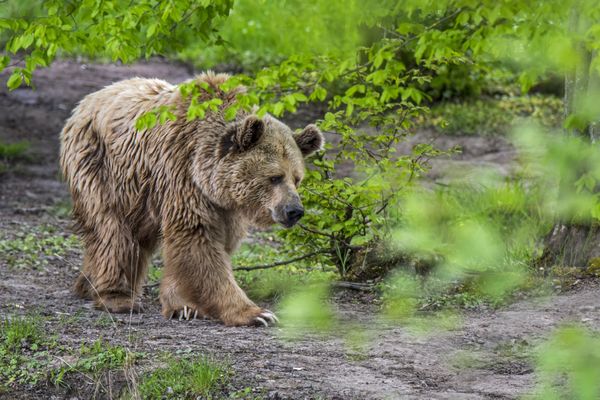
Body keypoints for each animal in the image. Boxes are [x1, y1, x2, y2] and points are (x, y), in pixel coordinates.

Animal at [60, 72, 324, 324]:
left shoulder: (224, 207)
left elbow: (211, 246)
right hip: (101, 168)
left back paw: (86, 284)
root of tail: (87, 101)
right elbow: (198, 241)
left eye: (297, 178)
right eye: (274, 177)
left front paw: (182, 306)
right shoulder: (183, 176)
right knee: (113, 232)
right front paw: (256, 314)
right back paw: (117, 297)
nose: (294, 210)